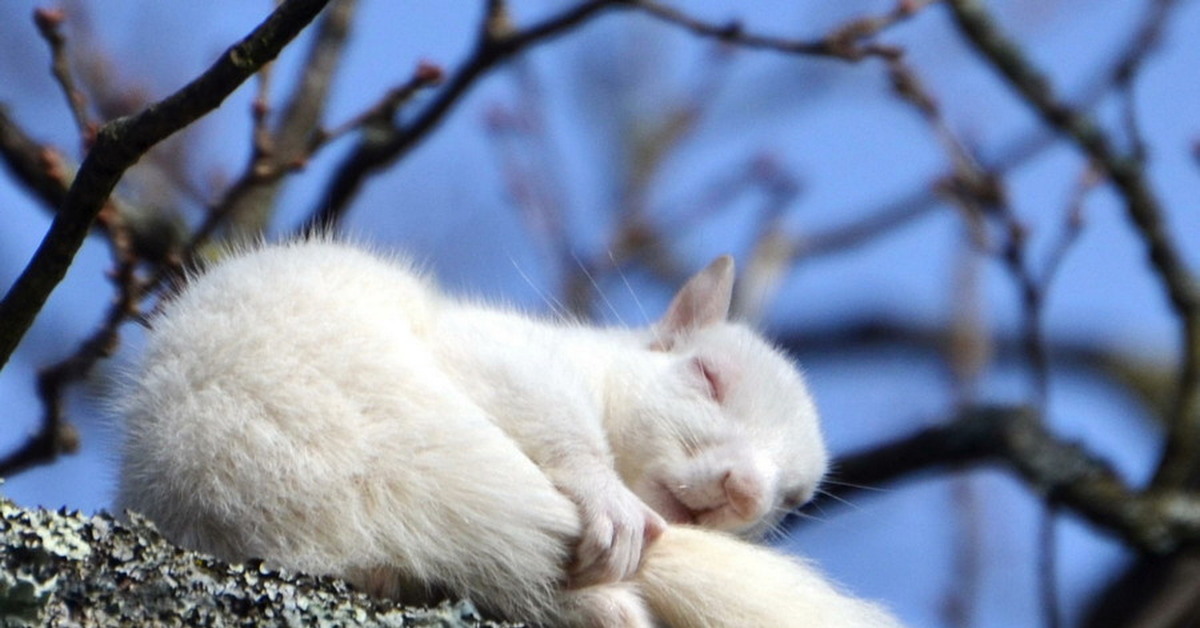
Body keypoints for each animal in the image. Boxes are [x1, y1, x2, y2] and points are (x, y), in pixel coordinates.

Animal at [117, 238, 902, 624]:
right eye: (708, 376)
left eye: (792, 500)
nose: (743, 491)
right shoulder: (510, 349)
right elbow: (541, 399)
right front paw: (604, 493)